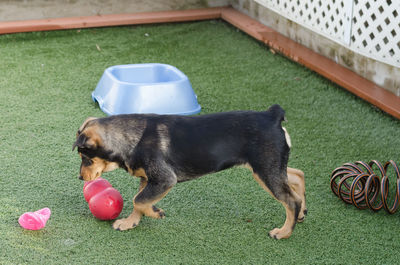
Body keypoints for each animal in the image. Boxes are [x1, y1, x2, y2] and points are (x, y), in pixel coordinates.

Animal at [72, 104, 306, 238]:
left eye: (86, 159)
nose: (81, 177)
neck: (129, 138)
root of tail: (272, 115)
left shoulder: (164, 179)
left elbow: (138, 200)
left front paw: (155, 213)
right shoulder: (148, 179)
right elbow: (139, 200)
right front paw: (130, 223)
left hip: (265, 169)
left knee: (290, 199)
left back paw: (284, 232)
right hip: (271, 166)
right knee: (297, 175)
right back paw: (302, 213)